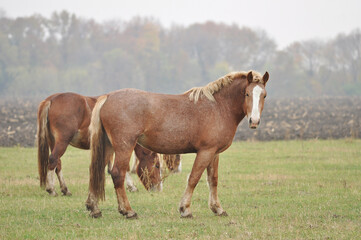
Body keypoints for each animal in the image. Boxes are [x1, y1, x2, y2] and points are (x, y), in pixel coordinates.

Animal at [86, 70, 268, 218]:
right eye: (247, 94)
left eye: (264, 95)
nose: (254, 121)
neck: (218, 106)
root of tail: (108, 97)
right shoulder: (205, 151)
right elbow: (194, 178)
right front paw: (185, 209)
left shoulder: (214, 153)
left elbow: (213, 179)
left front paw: (217, 209)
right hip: (124, 146)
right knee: (117, 173)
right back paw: (128, 211)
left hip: (108, 147)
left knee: (97, 170)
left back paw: (94, 208)